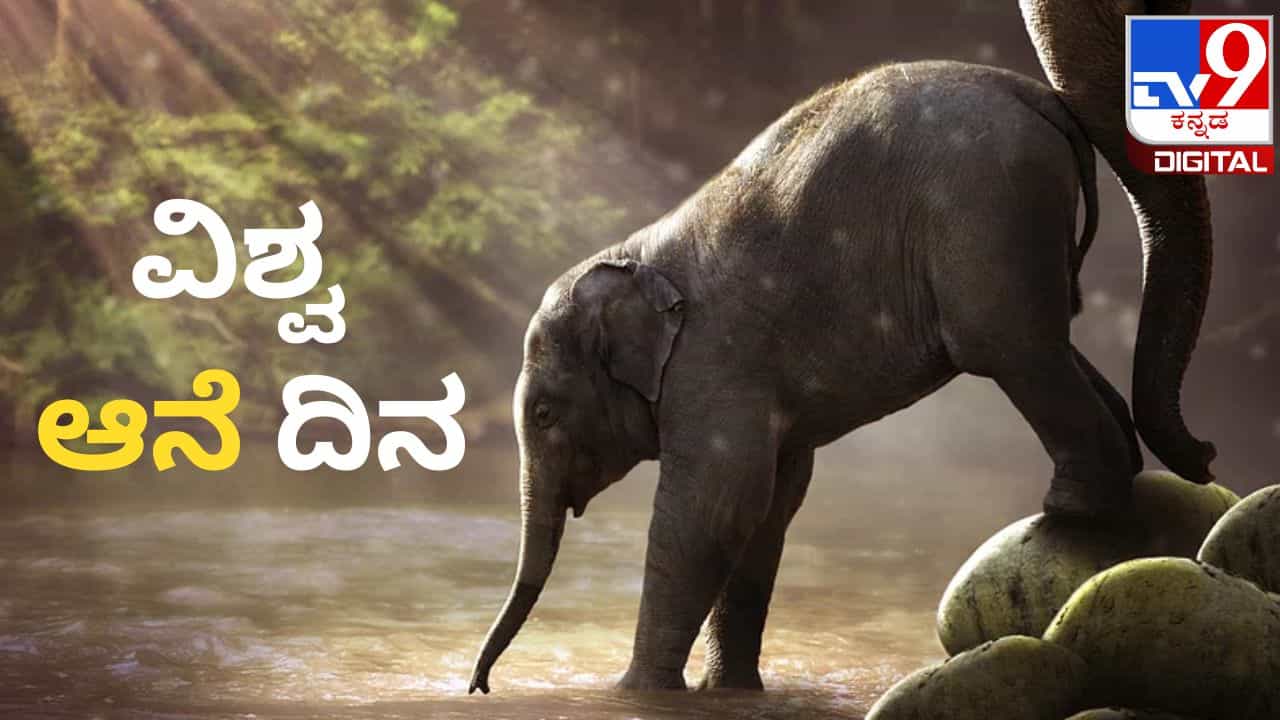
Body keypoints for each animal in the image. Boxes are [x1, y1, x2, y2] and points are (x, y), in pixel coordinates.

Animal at [470, 59, 1149, 694]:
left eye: (544, 414)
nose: (479, 684)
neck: (634, 255)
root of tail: (1033, 93)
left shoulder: (714, 364)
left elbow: (713, 507)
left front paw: (635, 692)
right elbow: (770, 505)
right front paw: (729, 691)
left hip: (987, 213)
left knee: (1010, 345)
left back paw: (1071, 505)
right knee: (1050, 340)